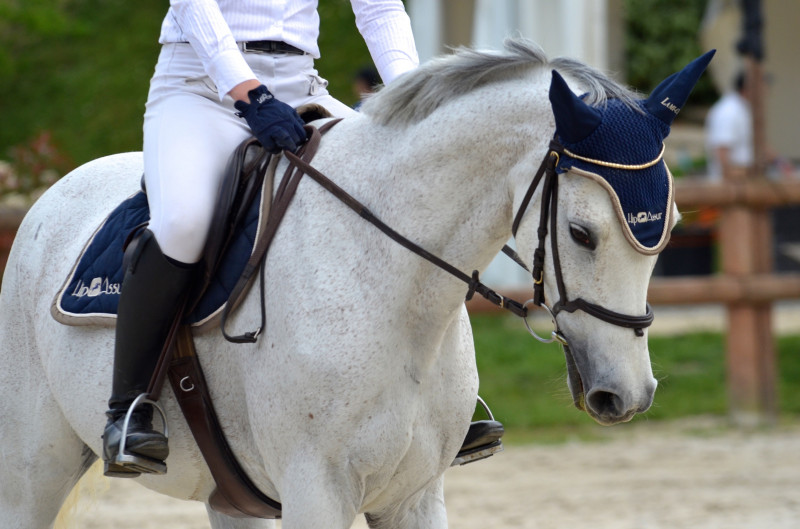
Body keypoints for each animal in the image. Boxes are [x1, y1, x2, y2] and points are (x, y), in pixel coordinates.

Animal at [0, 39, 710, 528]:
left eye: (671, 227)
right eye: (583, 233)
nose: (628, 394)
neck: (397, 296)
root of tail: (47, 197)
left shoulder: (416, 496)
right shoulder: (317, 492)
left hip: (228, 495)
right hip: (34, 467)